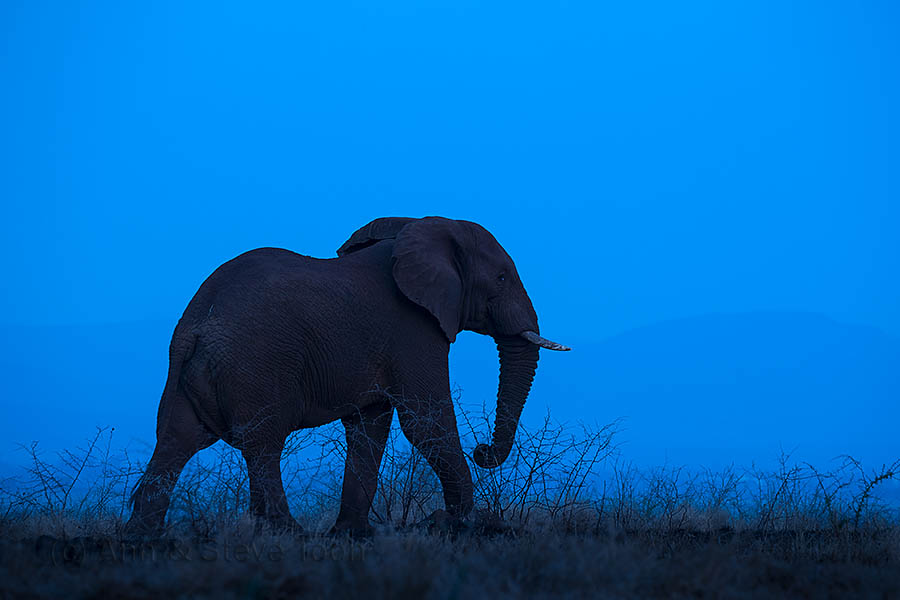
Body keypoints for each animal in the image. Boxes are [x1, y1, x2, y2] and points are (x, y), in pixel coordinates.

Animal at [125, 216, 569, 536]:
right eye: (501, 278)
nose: (482, 451)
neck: (419, 227)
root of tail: (196, 326)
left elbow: (369, 428)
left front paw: (354, 535)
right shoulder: (413, 328)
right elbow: (424, 421)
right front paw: (451, 524)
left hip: (191, 373)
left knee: (176, 440)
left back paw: (143, 538)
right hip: (256, 364)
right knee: (263, 444)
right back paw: (289, 533)